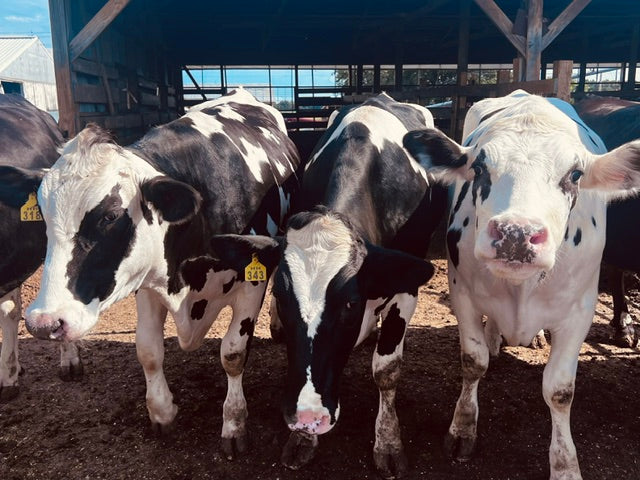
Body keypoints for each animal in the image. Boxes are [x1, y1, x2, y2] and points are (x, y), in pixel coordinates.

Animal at [23, 88, 301, 458]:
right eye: (42, 213)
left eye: (111, 216)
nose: (43, 322)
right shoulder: (147, 285)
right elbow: (148, 350)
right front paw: (162, 412)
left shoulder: (252, 282)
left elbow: (233, 353)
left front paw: (234, 424)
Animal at [209, 93, 447, 478]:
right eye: (280, 296)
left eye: (349, 303)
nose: (308, 416)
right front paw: (303, 441)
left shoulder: (406, 279)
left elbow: (387, 370)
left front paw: (388, 442)